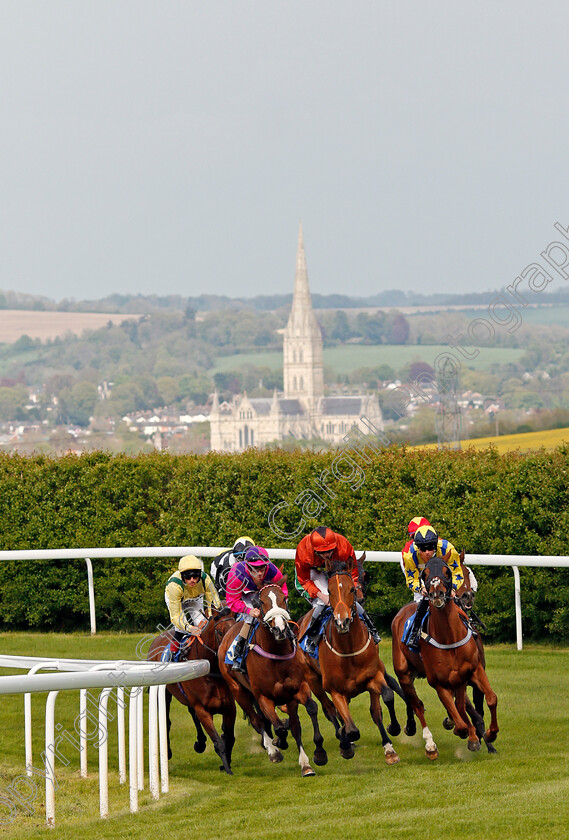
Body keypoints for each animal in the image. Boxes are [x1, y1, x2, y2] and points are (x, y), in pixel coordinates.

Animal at [148, 604, 236, 776]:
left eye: (235, 627)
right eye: (220, 632)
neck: (210, 670)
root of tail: (157, 639)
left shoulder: (229, 707)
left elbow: (229, 737)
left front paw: (226, 764)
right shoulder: (203, 709)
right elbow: (218, 741)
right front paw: (228, 769)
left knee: (191, 714)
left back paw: (200, 743)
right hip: (165, 694)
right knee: (167, 721)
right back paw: (168, 752)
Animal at [217, 580, 328, 776]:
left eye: (284, 598)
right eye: (260, 602)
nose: (280, 629)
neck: (275, 654)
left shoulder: (295, 690)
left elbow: (303, 717)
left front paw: (310, 761)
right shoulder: (263, 697)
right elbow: (279, 727)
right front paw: (277, 745)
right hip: (238, 690)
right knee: (257, 720)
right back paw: (272, 750)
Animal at [298, 560, 400, 764]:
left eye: (352, 588)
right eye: (329, 591)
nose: (342, 621)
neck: (349, 650)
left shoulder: (373, 676)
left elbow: (385, 698)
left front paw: (391, 737)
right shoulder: (335, 690)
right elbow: (350, 727)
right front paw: (346, 742)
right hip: (312, 679)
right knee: (328, 709)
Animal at [390, 552, 496, 760]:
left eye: (452, 571)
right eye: (424, 574)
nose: (437, 594)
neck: (449, 637)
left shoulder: (471, 672)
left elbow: (487, 700)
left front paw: (487, 735)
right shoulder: (439, 683)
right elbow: (461, 719)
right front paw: (467, 733)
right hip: (404, 672)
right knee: (416, 704)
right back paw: (428, 743)